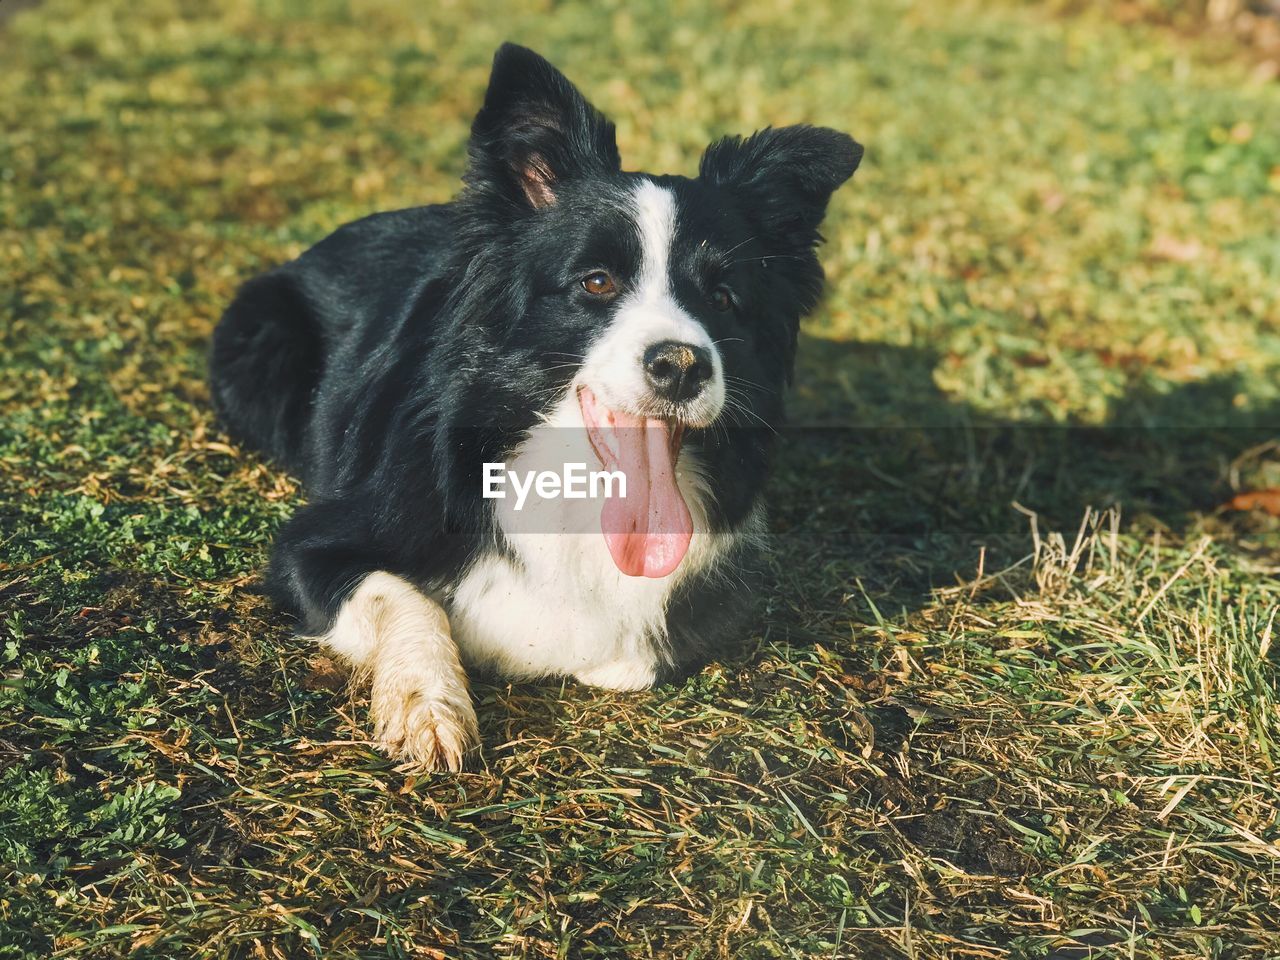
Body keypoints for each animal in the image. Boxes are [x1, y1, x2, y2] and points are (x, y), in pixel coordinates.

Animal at [209, 43, 860, 773]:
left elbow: (629, 651)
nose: (683, 366)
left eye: (723, 298)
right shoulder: (314, 543)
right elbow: (401, 596)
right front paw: (428, 707)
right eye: (597, 282)